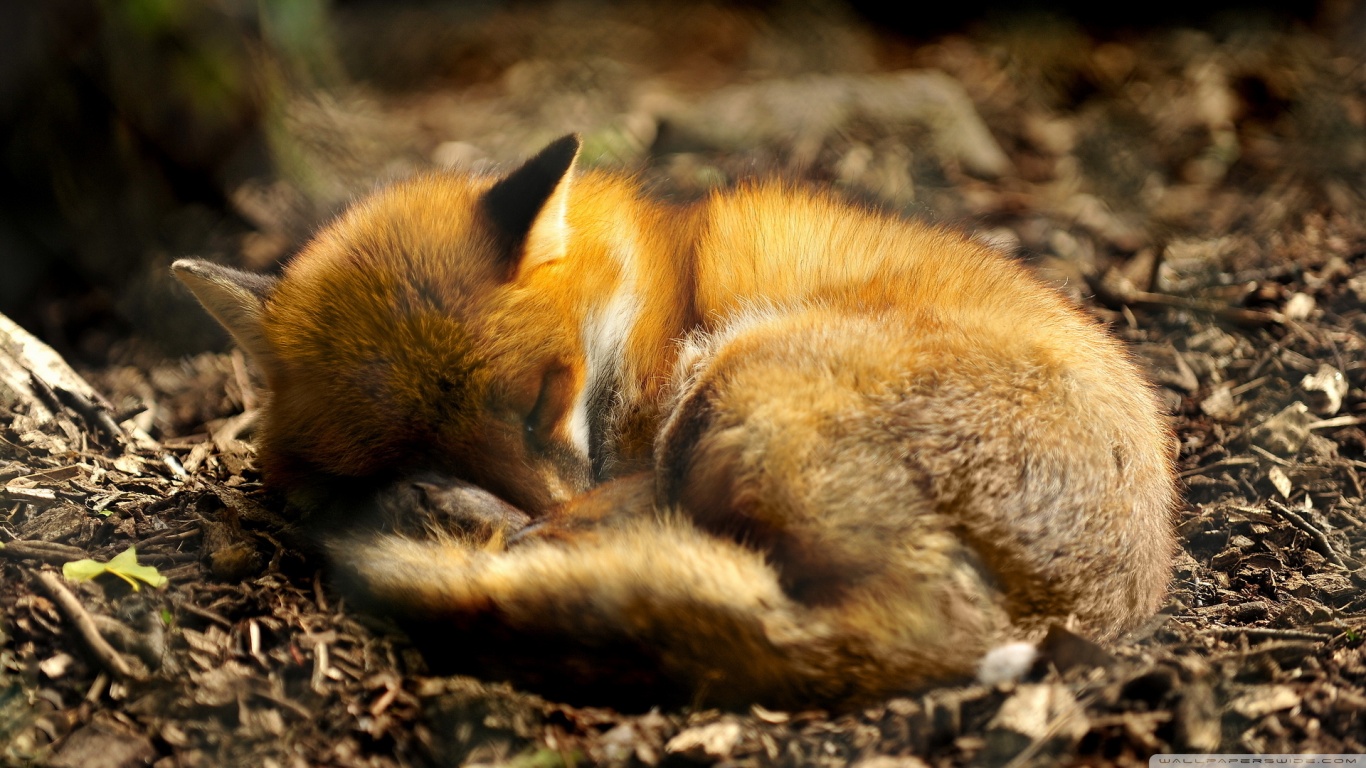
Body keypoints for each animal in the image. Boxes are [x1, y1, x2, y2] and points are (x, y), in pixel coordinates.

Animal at [173, 134, 1174, 710]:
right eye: (402, 442)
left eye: (542, 399)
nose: (533, 504)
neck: (645, 294)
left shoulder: (643, 429)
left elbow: (612, 499)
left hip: (737, 382)